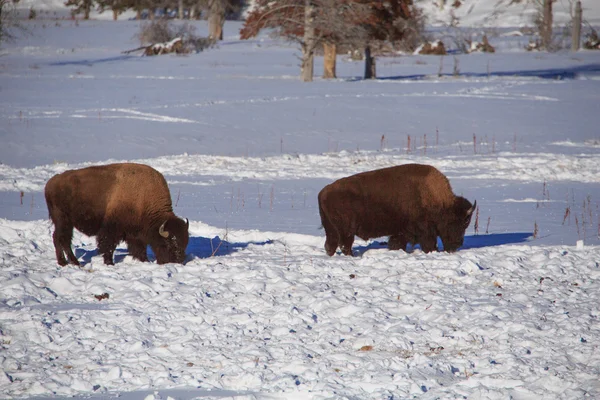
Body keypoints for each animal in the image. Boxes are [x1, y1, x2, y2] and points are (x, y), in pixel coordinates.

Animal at [44, 162, 189, 266]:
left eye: (185, 243)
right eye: (168, 244)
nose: (178, 262)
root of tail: (51, 183)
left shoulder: (135, 233)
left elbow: (139, 249)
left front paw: (144, 261)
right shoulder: (111, 229)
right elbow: (108, 246)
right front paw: (109, 263)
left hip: (66, 223)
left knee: (60, 238)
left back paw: (69, 262)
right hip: (63, 220)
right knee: (61, 238)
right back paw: (68, 262)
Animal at [316, 163, 476, 255]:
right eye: (457, 223)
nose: (457, 245)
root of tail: (323, 192)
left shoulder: (401, 231)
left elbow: (397, 242)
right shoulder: (424, 230)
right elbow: (429, 243)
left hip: (331, 229)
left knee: (331, 245)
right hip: (346, 230)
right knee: (344, 244)